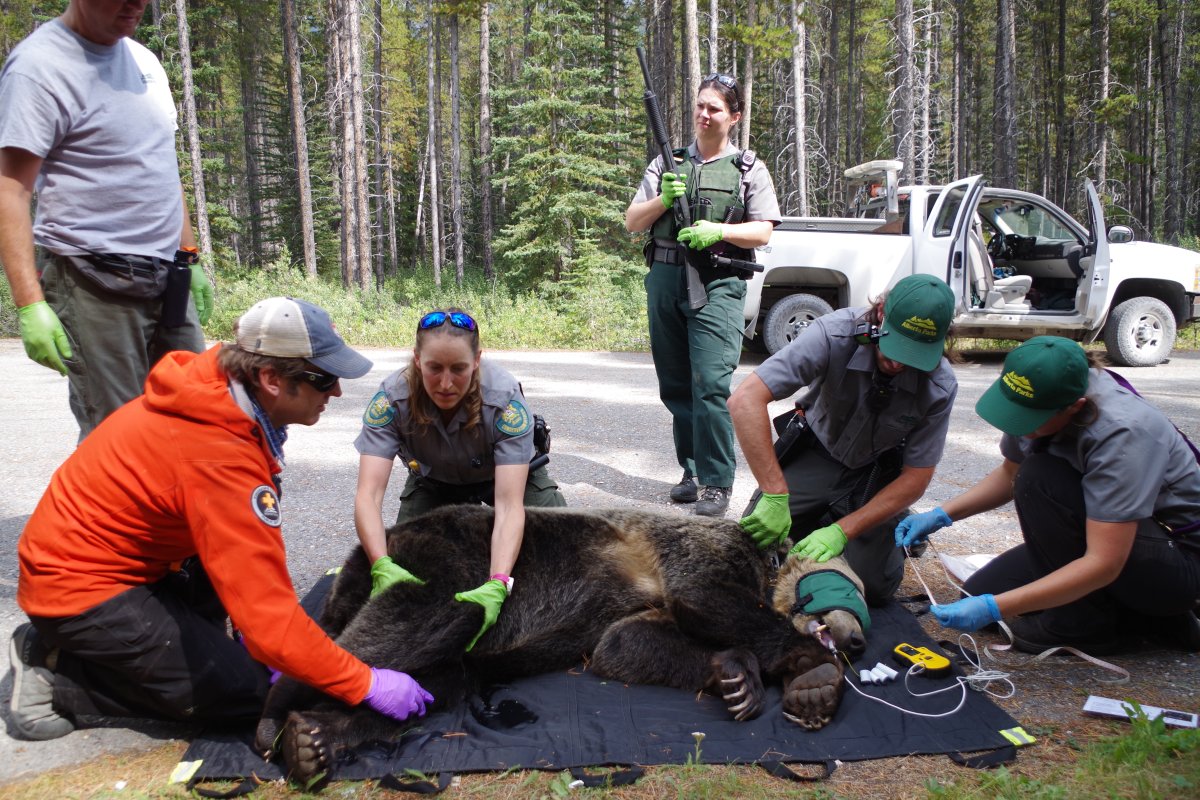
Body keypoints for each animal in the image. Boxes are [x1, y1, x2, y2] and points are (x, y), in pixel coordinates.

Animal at [260, 510, 864, 786]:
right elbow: (708, 594)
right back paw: (277, 709)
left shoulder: (639, 611)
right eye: (852, 592)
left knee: (438, 680)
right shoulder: (702, 551)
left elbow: (625, 643)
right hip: (449, 554)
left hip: (448, 640)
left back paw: (314, 738)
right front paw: (813, 675)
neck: (766, 568)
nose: (857, 637)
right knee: (415, 618)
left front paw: (735, 677)